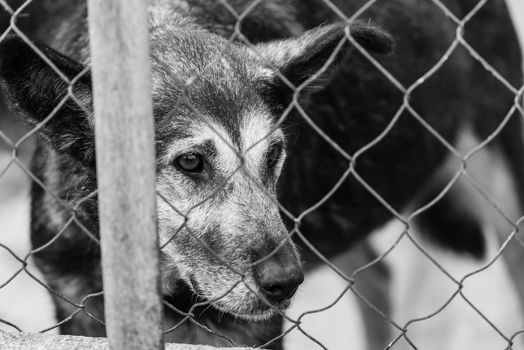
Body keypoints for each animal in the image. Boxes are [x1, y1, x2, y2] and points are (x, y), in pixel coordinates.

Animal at [0, 0, 520, 348]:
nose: (284, 284)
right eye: (190, 162)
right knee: (379, 277)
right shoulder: (80, 308)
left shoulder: (252, 331)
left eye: (274, 154)